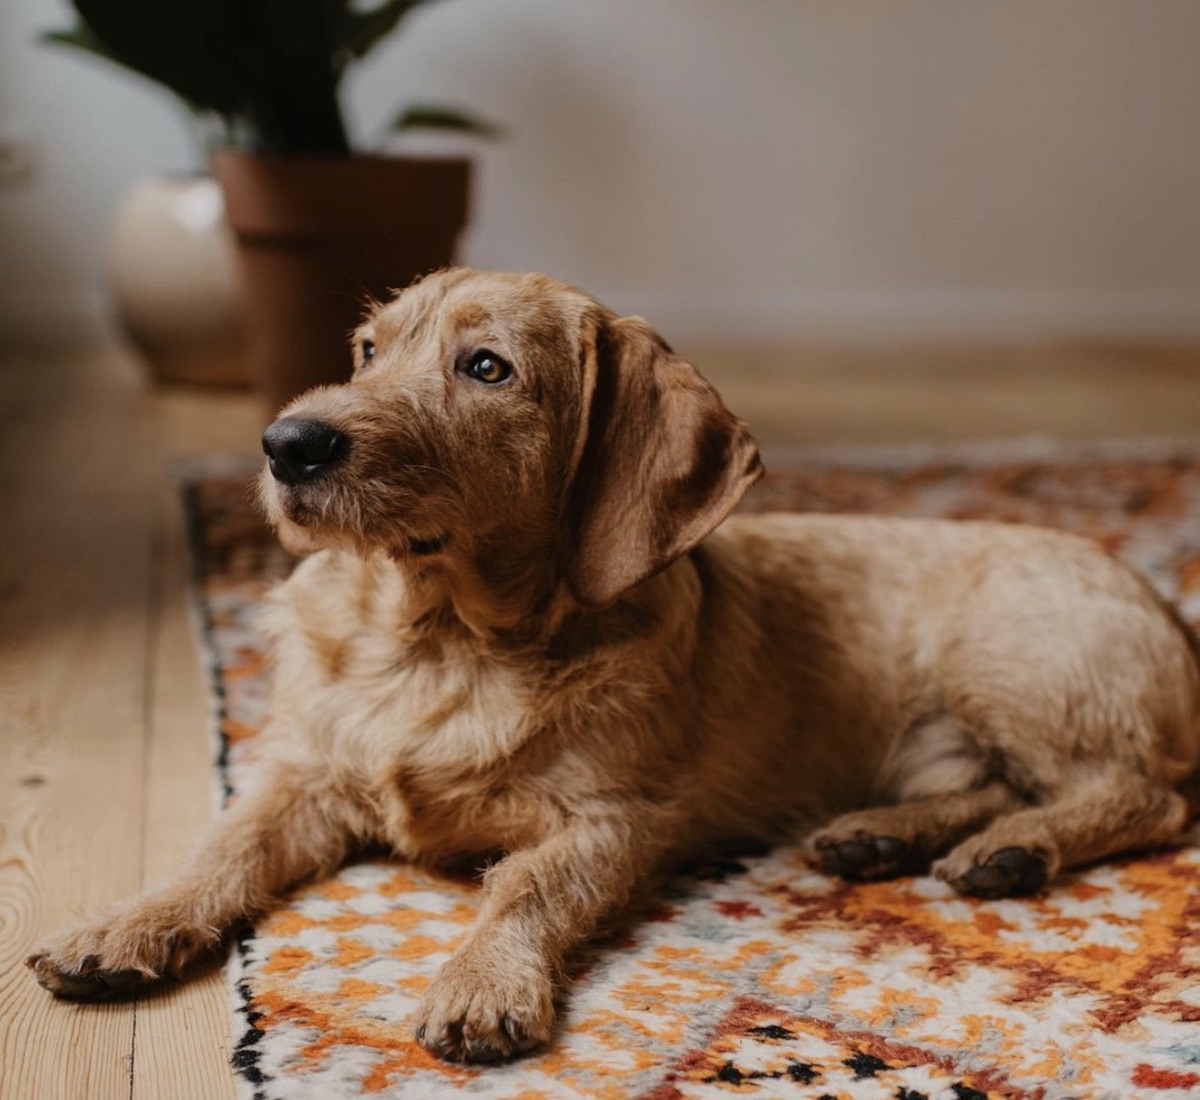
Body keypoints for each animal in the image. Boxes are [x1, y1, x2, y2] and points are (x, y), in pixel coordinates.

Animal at [28, 268, 1200, 1065]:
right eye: (365, 349)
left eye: (487, 367)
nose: (287, 443)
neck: (439, 641)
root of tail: (1164, 603)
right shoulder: (301, 774)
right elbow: (218, 850)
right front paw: (123, 925)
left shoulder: (613, 820)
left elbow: (524, 887)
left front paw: (481, 979)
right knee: (995, 782)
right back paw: (888, 834)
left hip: (1011, 662)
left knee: (1138, 795)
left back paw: (1014, 851)